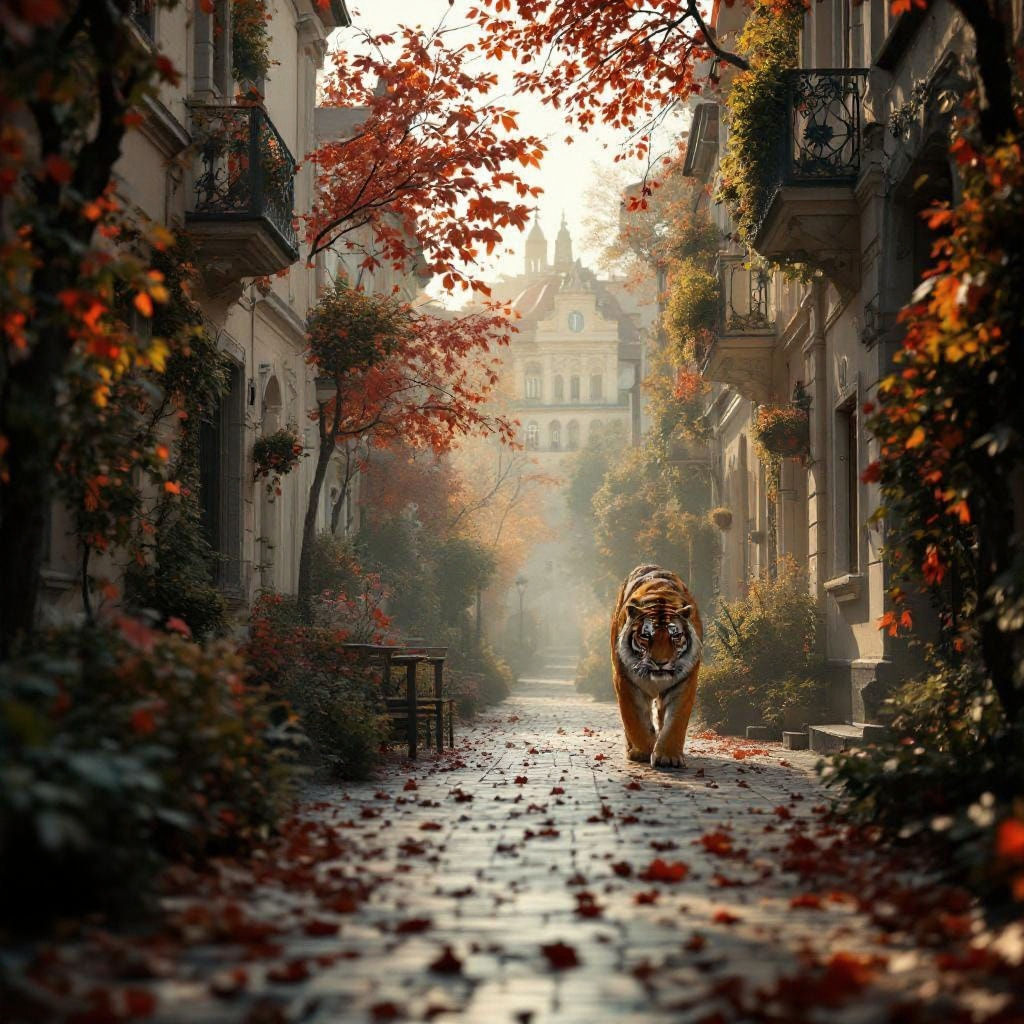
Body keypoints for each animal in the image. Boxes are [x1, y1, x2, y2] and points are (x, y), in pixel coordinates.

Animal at [610, 564, 704, 769]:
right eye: (646, 636)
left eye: (675, 636)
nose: (660, 663)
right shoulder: (626, 681)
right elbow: (635, 720)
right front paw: (643, 751)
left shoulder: (684, 682)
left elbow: (675, 722)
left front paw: (668, 756)